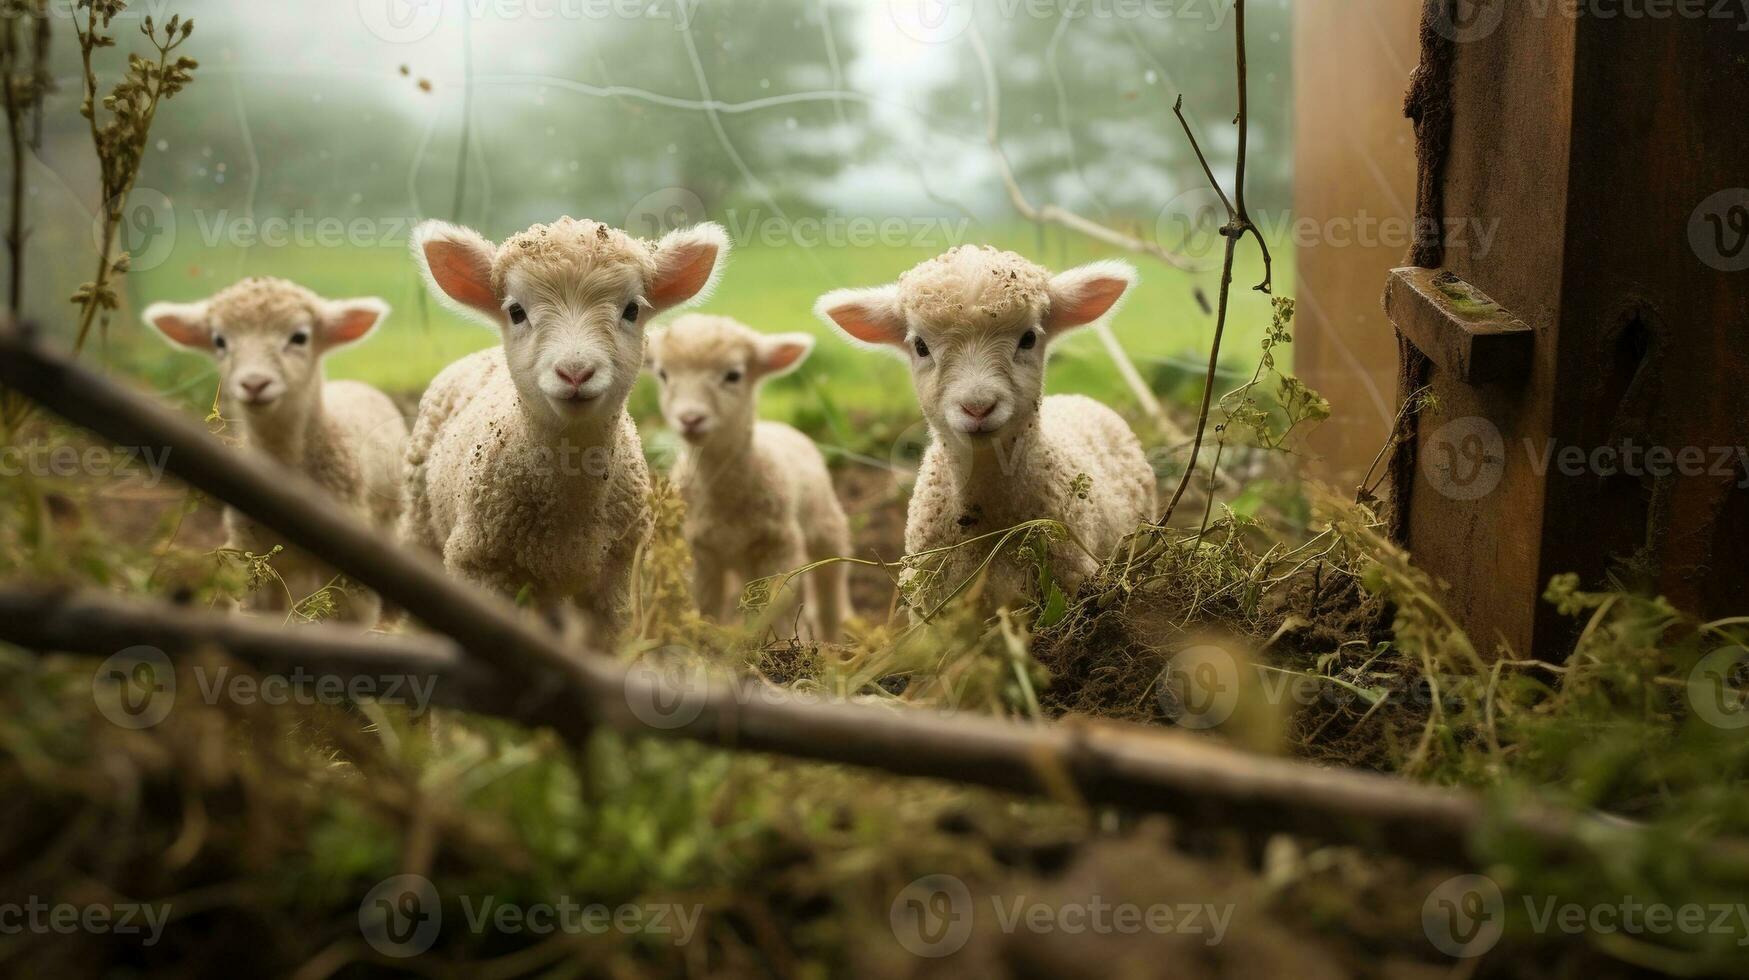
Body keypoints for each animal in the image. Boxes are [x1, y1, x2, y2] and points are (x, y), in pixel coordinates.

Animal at [405, 215, 727, 644]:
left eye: (631, 310)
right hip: (420, 522)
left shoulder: (618, 574)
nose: (575, 372)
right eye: (516, 311)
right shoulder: (478, 562)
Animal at [650, 309, 853, 640]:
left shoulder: (778, 545)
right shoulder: (699, 550)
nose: (691, 419)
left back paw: (831, 640)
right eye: (663, 374)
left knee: (828, 591)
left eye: (733, 374)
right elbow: (706, 604)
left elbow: (775, 608)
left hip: (826, 527)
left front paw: (776, 642)